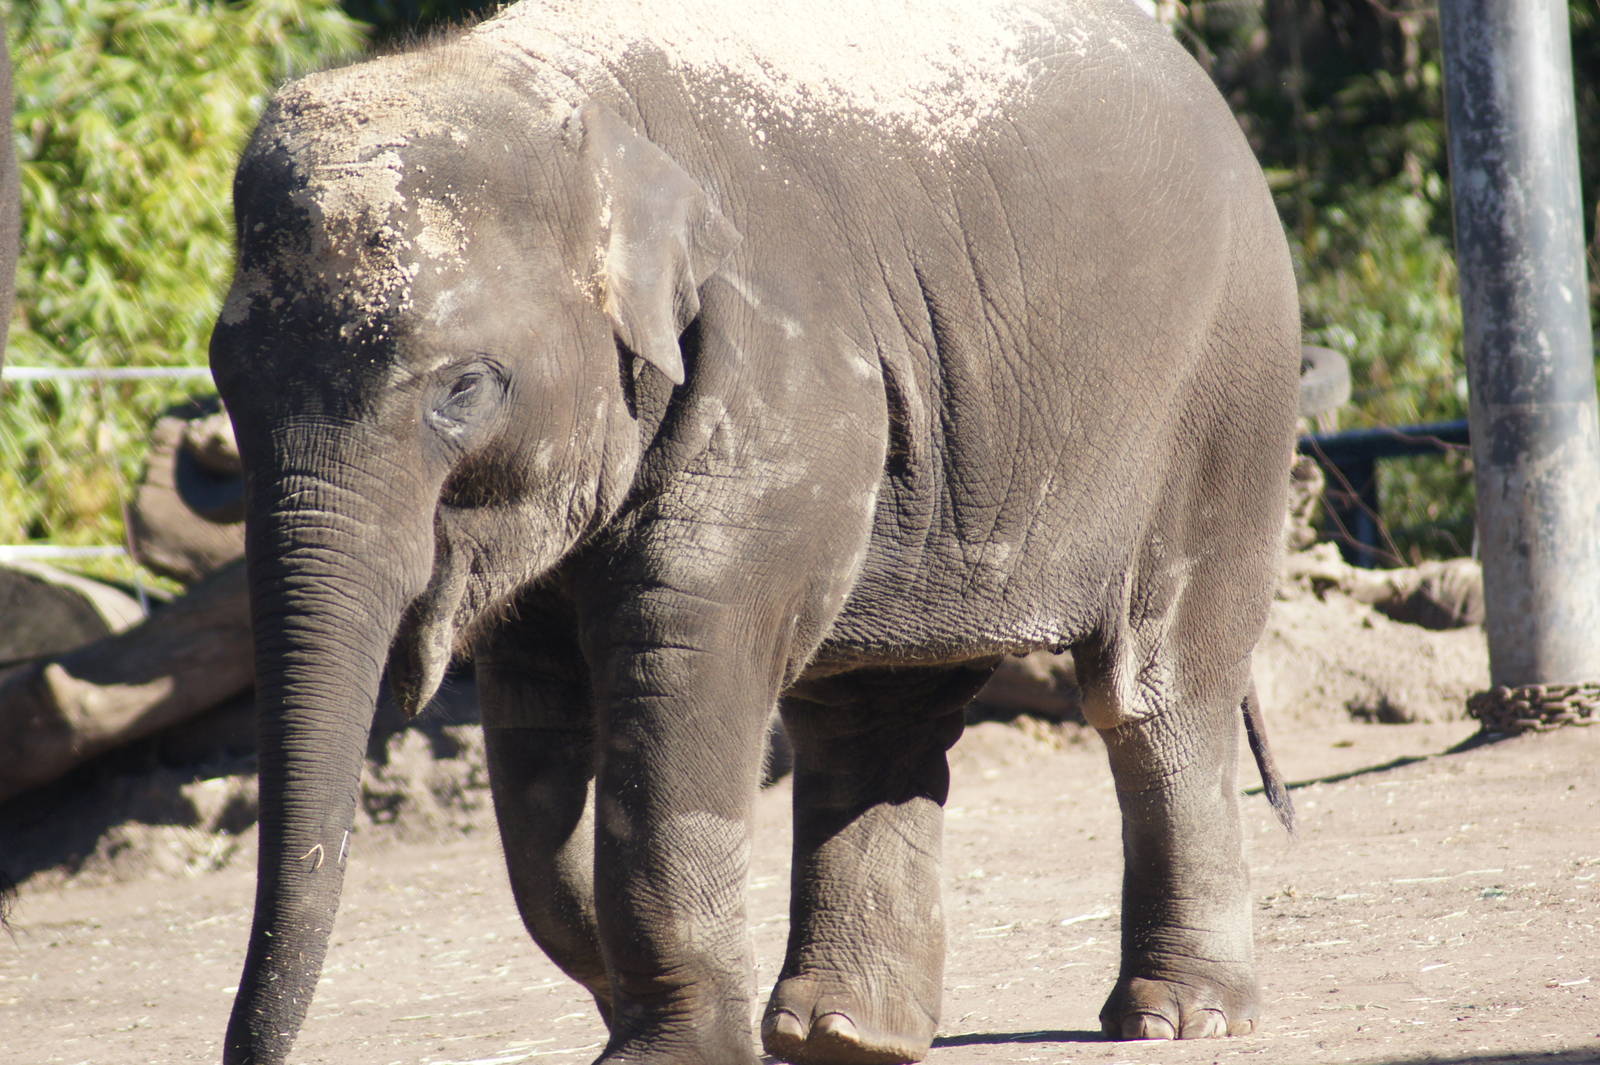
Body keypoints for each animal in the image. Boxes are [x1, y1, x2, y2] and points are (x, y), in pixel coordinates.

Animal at [210, 2, 1300, 1063]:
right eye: (224, 376)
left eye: (463, 389)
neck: (571, 101)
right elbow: (534, 720)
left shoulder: (778, 361)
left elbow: (681, 652)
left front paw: (668, 1054)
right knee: (872, 709)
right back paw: (846, 1036)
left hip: (1225, 398)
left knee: (1154, 690)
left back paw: (1177, 1019)